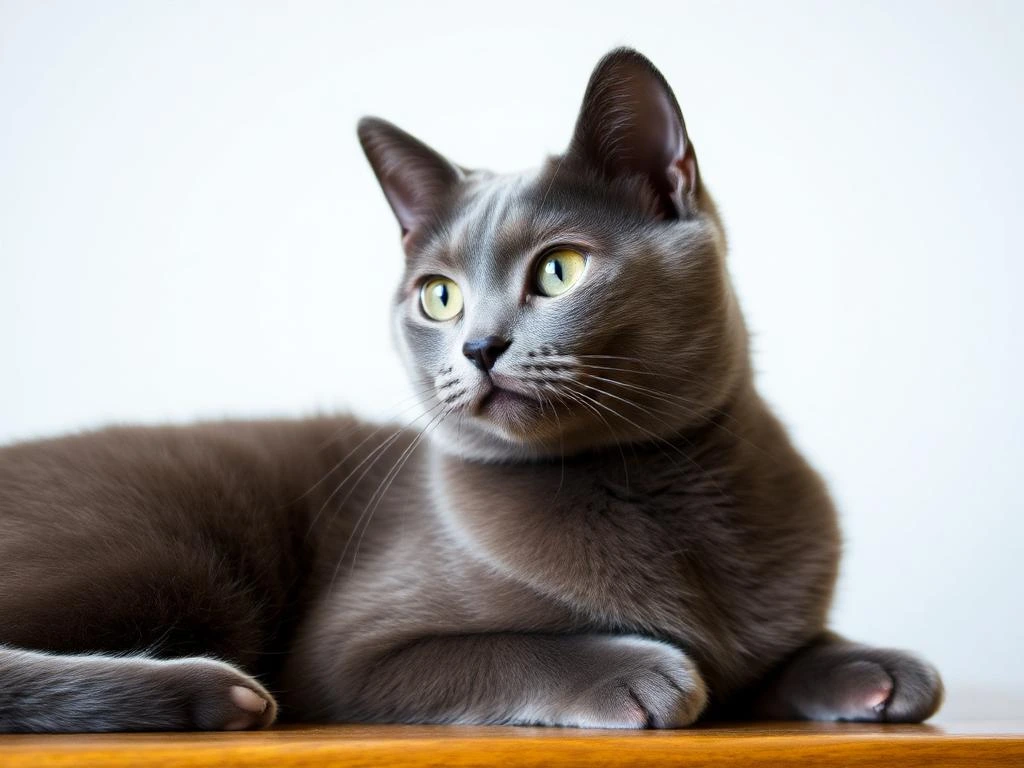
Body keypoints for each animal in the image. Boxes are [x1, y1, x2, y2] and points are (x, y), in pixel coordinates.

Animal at [0, 48, 942, 733]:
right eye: (439, 295)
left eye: (559, 270)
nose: (480, 345)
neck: (656, 480)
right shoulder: (348, 654)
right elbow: (506, 647)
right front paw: (639, 667)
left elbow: (779, 647)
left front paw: (869, 667)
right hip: (166, 554)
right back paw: (210, 694)